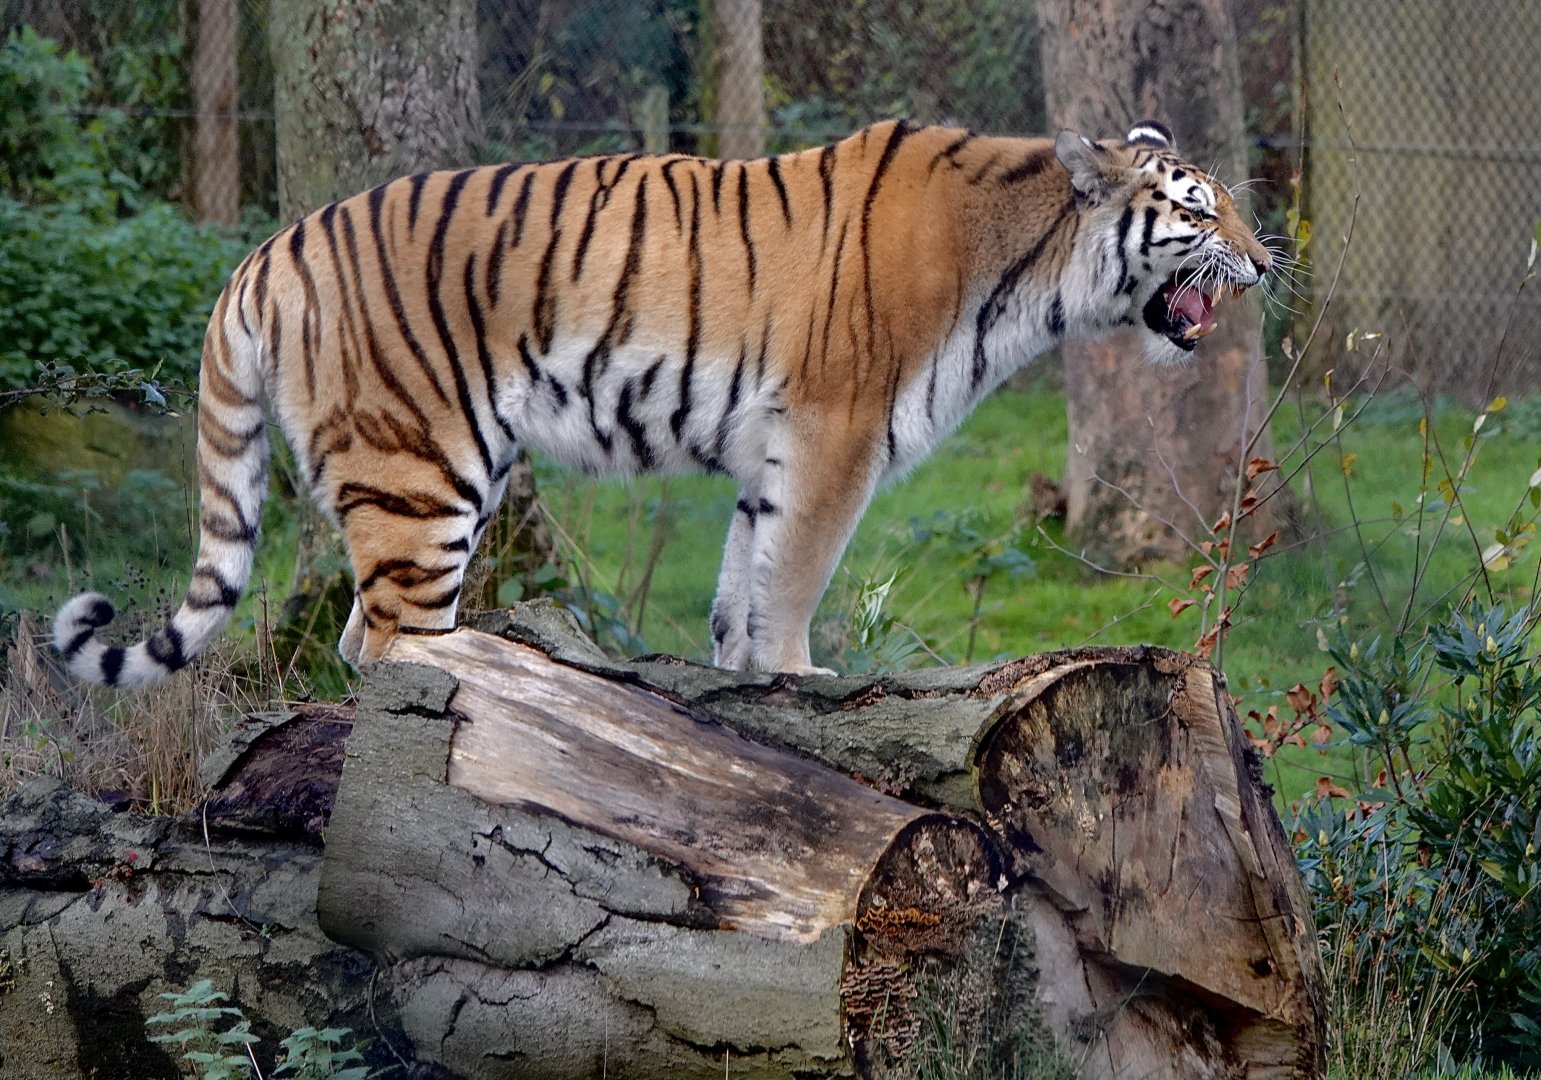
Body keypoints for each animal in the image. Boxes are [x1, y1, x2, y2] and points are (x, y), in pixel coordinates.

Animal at [53, 118, 1270, 686]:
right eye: (1198, 213)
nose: (1265, 267)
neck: (1028, 271)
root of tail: (267, 251)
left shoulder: (774, 450)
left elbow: (746, 582)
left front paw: (748, 686)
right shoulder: (836, 432)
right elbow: (797, 577)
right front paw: (799, 676)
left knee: (360, 635)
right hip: (418, 472)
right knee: (394, 641)